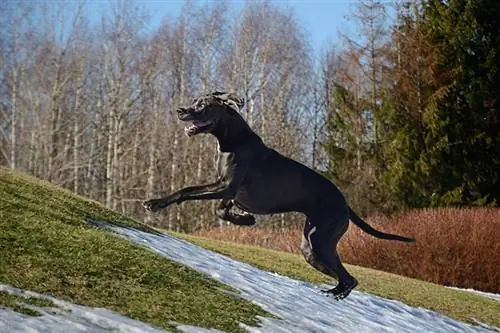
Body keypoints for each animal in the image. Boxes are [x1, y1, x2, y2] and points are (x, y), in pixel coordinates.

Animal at [144, 90, 414, 298]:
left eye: (202, 105)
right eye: (194, 100)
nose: (180, 110)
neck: (234, 139)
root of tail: (345, 204)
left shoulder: (225, 186)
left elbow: (187, 190)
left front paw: (155, 203)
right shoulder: (229, 191)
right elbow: (221, 210)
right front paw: (245, 219)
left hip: (321, 241)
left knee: (350, 279)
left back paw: (335, 295)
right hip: (310, 250)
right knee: (344, 276)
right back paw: (332, 292)